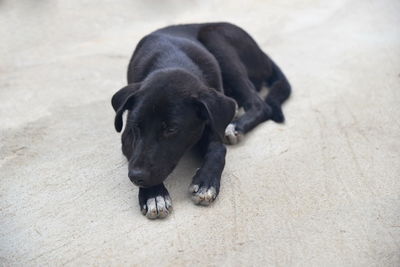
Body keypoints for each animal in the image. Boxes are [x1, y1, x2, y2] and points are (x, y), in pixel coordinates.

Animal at [111, 22, 290, 220]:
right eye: (136, 127)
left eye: (171, 129)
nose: (135, 177)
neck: (172, 60)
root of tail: (262, 54)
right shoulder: (127, 137)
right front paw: (154, 196)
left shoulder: (213, 123)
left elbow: (218, 149)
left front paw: (206, 182)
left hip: (216, 40)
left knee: (260, 104)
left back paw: (235, 126)